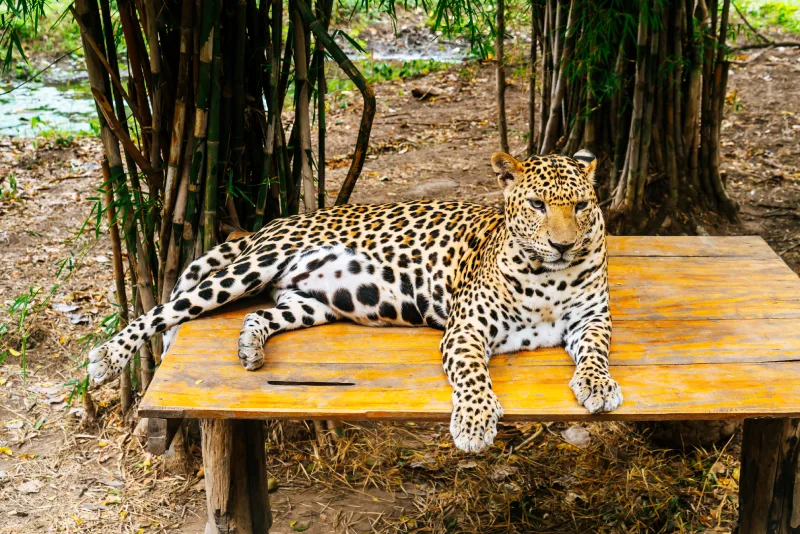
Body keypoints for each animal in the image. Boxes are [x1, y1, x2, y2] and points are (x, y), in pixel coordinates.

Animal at [87, 149, 623, 453]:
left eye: (581, 205)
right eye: (536, 205)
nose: (563, 245)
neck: (548, 276)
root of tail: (277, 221)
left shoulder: (592, 319)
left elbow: (596, 353)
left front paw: (598, 386)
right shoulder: (466, 328)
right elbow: (473, 377)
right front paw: (474, 424)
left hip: (311, 300)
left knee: (262, 313)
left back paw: (250, 348)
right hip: (248, 270)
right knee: (162, 310)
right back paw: (106, 358)